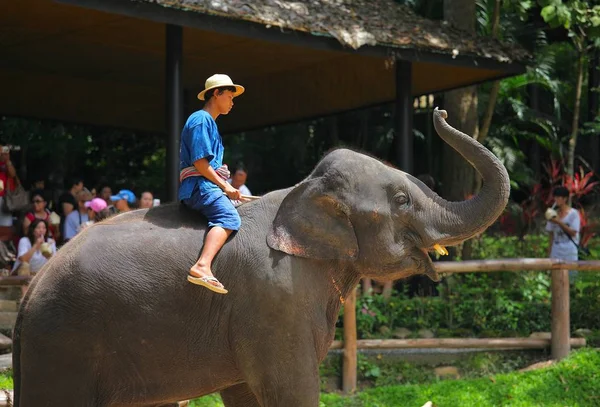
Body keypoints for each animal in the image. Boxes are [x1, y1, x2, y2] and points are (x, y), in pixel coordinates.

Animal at [12, 109, 510, 407]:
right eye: (403, 201)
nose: (440, 111)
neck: (302, 189)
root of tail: (28, 293)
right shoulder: (274, 300)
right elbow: (292, 389)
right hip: (64, 344)